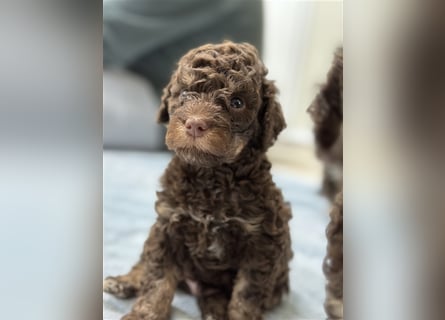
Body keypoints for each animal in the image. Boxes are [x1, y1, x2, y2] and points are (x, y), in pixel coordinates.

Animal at [103, 40, 292, 320]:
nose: (194, 124)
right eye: (184, 94)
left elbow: (246, 293)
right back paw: (124, 281)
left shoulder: (262, 241)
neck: (210, 177)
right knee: (144, 263)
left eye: (237, 102)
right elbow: (157, 278)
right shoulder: (168, 224)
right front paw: (145, 313)